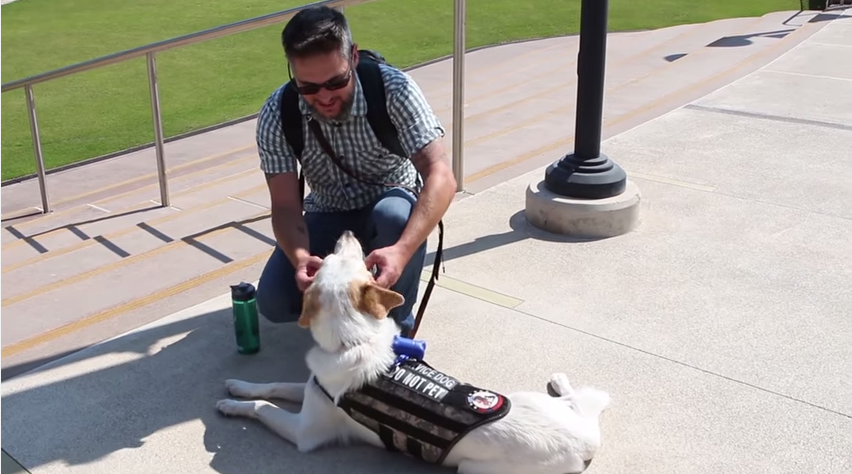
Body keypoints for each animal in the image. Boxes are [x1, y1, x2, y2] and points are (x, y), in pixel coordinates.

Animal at [216, 231, 608, 474]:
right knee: (579, 402)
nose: (348, 233)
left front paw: (232, 406)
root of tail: (585, 444)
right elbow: (275, 386)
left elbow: (263, 407)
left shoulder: (305, 432)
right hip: (531, 398)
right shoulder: (313, 387)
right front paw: (238, 386)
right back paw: (561, 383)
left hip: (472, 469)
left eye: (333, 257)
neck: (355, 338)